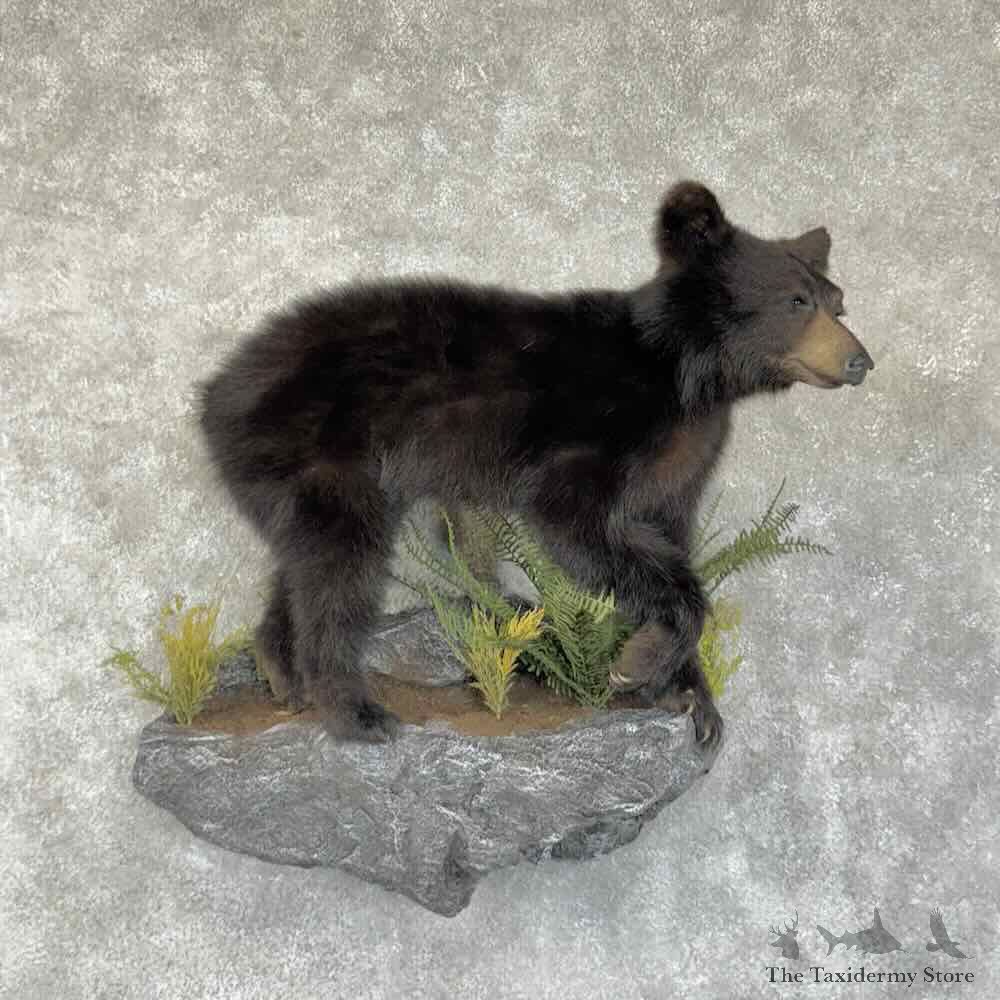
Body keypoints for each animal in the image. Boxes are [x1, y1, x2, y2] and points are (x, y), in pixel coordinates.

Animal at [197, 181, 874, 751]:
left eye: (837, 305)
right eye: (796, 301)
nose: (860, 361)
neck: (683, 373)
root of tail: (217, 390)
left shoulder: (684, 461)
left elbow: (674, 537)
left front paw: (692, 700)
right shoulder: (598, 437)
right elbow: (582, 524)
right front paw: (636, 666)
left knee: (302, 566)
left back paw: (285, 676)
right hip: (326, 455)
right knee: (340, 574)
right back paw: (355, 712)